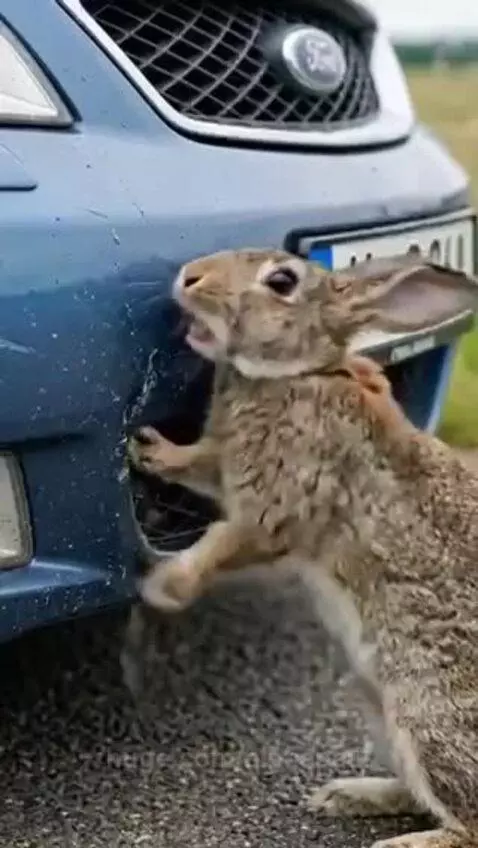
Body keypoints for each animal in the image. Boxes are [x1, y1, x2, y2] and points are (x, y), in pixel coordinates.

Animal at [128, 248, 478, 848]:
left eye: (281, 280)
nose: (189, 277)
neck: (300, 374)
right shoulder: (224, 466)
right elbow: (195, 464)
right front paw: (148, 449)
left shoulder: (275, 511)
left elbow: (222, 546)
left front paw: (163, 587)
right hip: (376, 704)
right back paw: (349, 795)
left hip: (426, 713)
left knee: (468, 823)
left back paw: (403, 843)